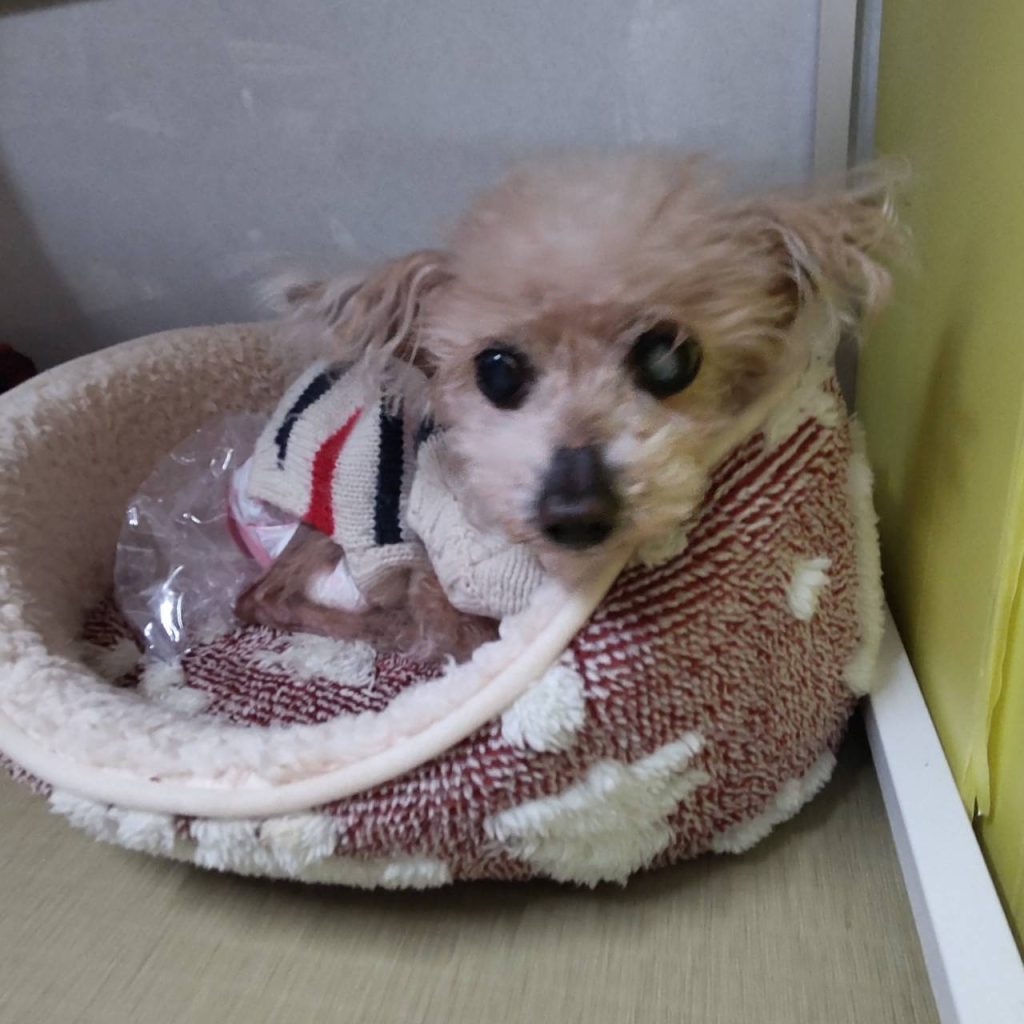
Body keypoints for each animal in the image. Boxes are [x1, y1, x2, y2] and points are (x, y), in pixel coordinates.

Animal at [236, 154, 903, 661]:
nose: (576, 512)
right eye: (497, 372)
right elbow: (457, 627)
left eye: (669, 359)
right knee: (260, 599)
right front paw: (438, 637)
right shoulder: (427, 557)